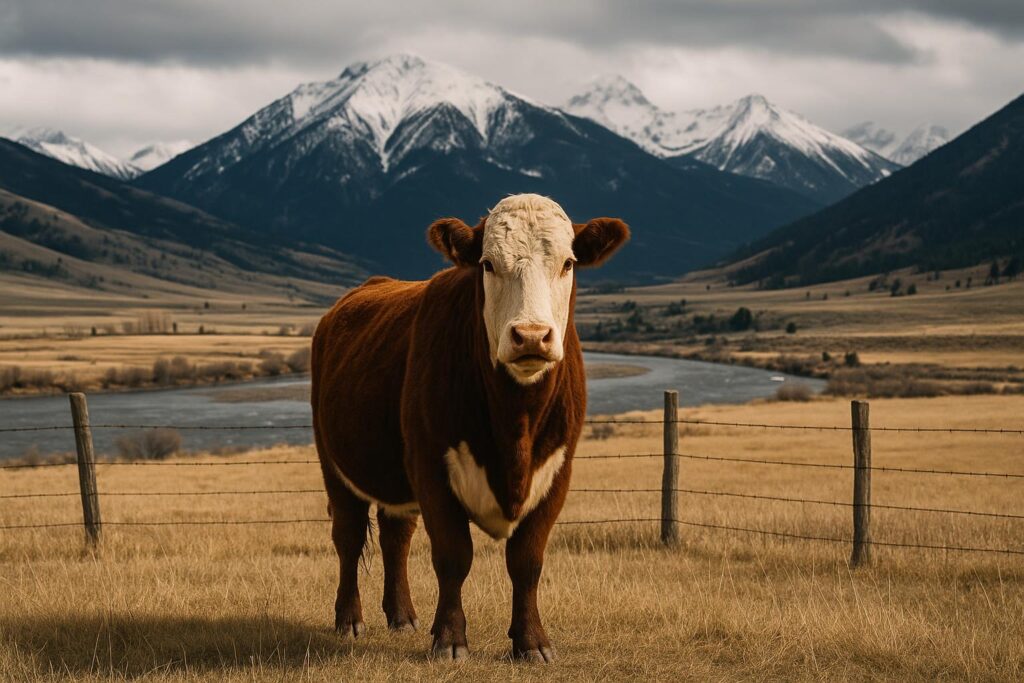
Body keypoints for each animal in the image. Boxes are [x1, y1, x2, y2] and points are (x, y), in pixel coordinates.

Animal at [311, 194, 629, 662]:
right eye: (488, 264)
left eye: (568, 263)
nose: (530, 335)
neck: (515, 424)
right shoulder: (431, 466)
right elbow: (453, 555)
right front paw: (450, 639)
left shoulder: (558, 470)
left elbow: (527, 559)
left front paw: (532, 643)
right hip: (334, 464)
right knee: (349, 536)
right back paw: (350, 620)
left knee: (396, 535)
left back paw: (402, 616)